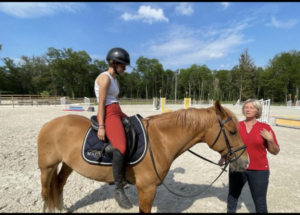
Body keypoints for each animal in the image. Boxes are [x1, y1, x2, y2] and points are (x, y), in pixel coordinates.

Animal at [37, 101, 248, 213]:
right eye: (232, 131)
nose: (245, 161)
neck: (160, 139)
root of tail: (49, 123)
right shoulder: (147, 189)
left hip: (67, 164)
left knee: (59, 185)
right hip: (47, 168)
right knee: (46, 192)